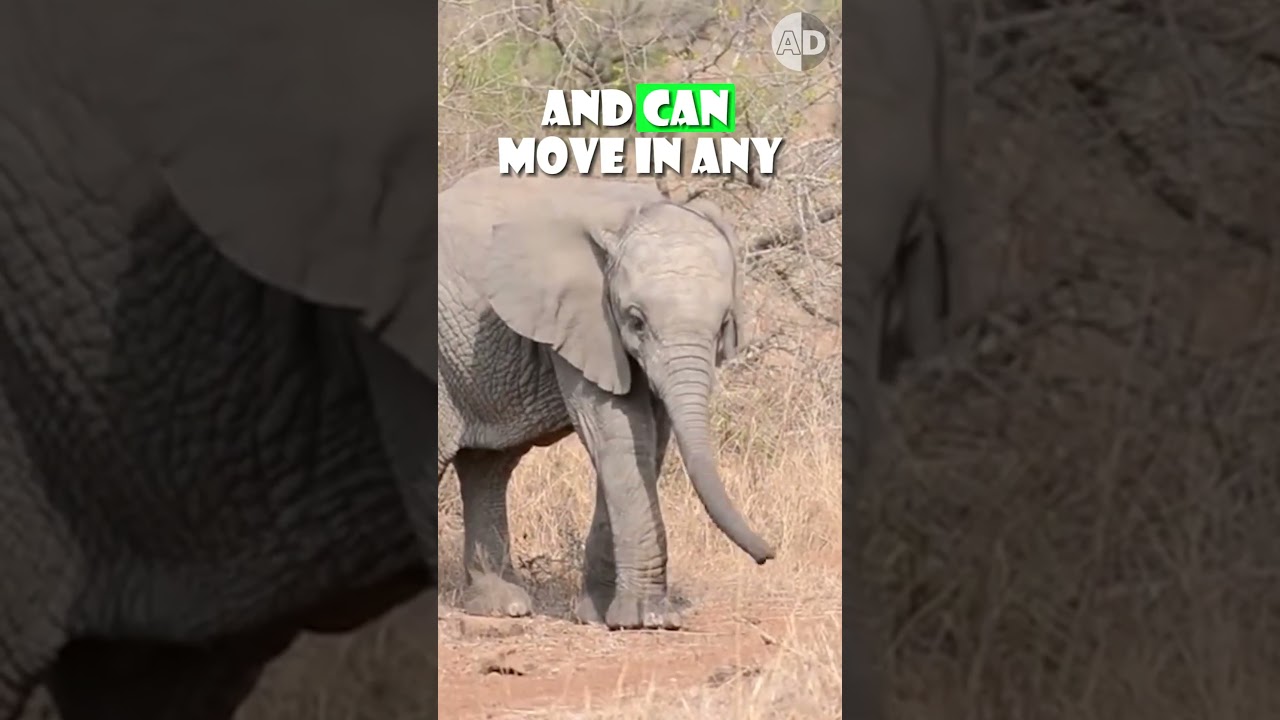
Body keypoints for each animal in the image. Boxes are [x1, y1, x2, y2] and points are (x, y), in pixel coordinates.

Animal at [437, 169, 775, 631]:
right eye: (635, 320)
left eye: (724, 323)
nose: (769, 553)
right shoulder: (582, 319)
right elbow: (617, 431)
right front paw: (647, 620)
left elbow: (647, 441)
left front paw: (598, 615)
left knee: (486, 468)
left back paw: (503, 605)